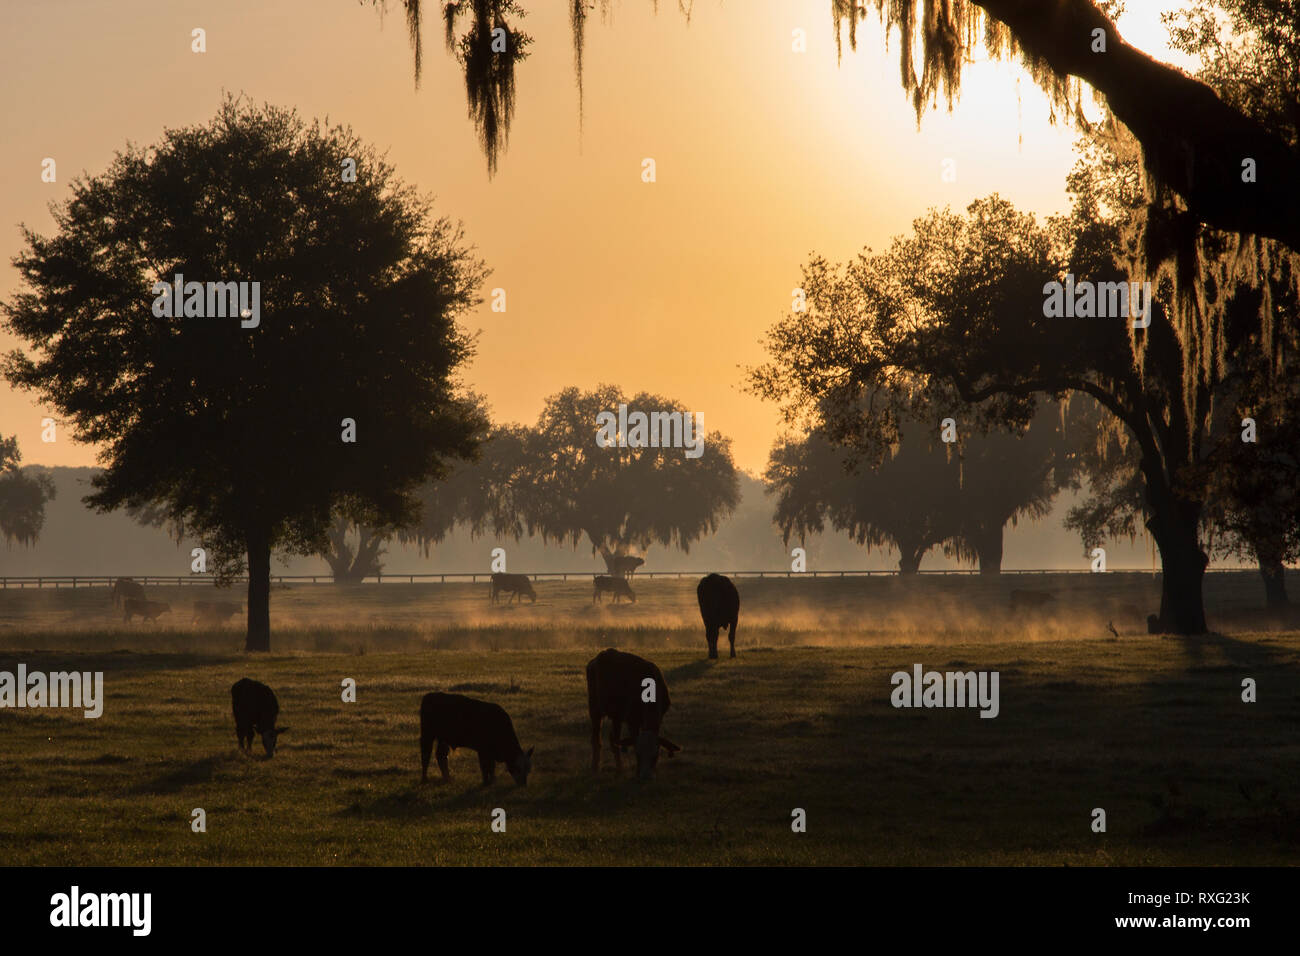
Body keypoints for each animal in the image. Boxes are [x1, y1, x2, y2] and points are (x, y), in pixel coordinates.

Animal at [585, 647, 676, 780]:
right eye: (638, 754)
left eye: (655, 755)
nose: (645, 776)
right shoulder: (632, 720)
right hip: (595, 708)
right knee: (597, 739)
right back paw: (596, 767)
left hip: (616, 716)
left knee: (614, 739)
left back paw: (619, 768)